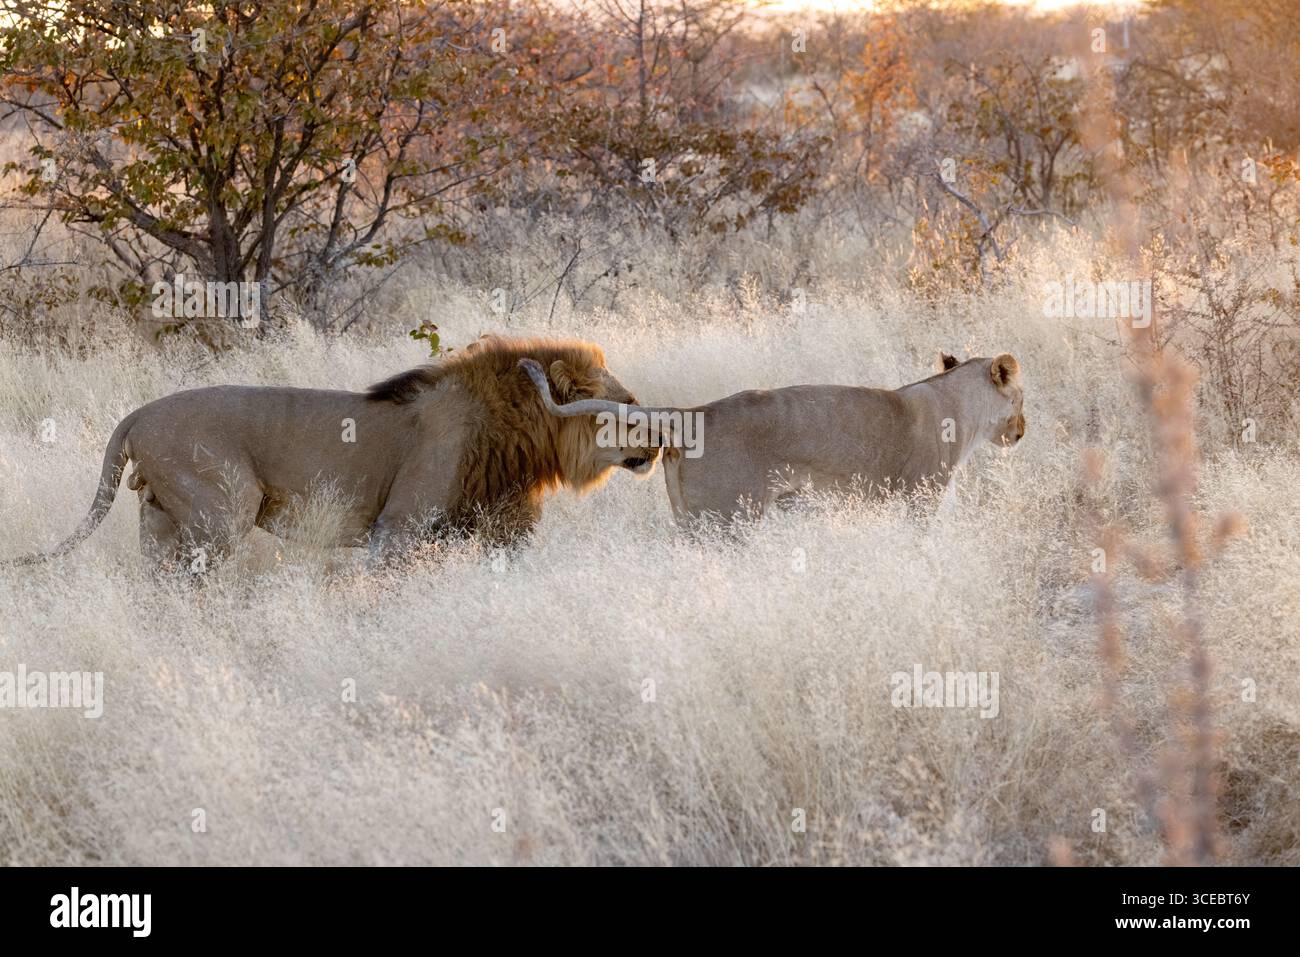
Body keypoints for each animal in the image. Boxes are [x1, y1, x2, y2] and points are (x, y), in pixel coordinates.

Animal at [5, 336, 659, 569]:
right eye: (623, 406)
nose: (656, 442)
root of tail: (137, 413)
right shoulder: (398, 529)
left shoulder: (506, 527)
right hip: (222, 511)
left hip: (160, 519)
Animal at [519, 352, 1025, 525]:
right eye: (1022, 398)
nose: (1022, 432)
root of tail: (694, 413)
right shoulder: (921, 499)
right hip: (727, 520)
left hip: (691, 522)